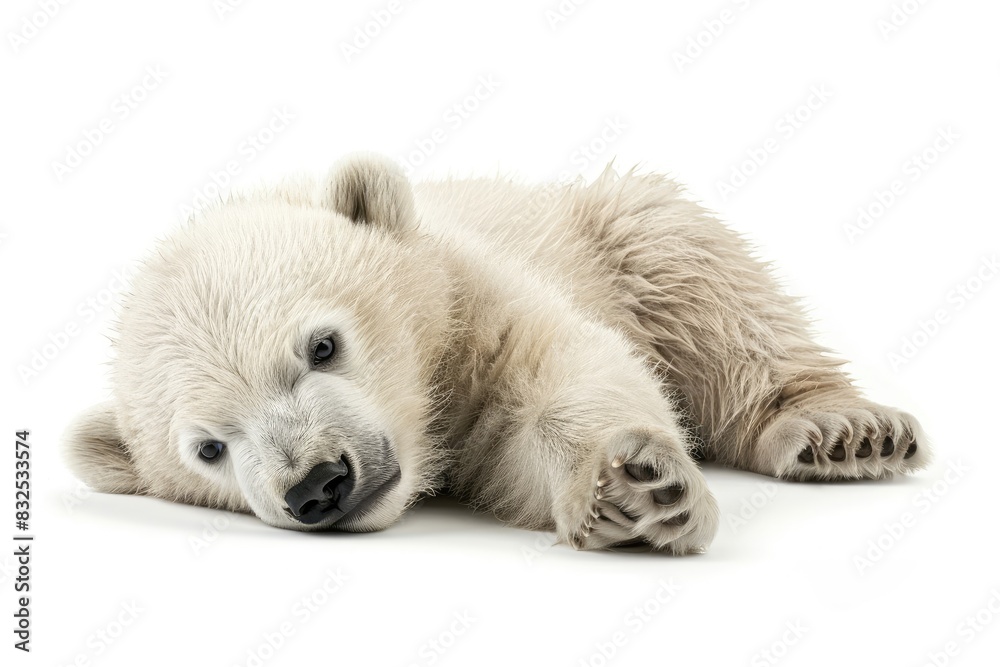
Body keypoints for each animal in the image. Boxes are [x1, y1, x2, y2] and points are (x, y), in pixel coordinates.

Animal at [63, 153, 930, 554]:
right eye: (209, 447)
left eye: (322, 345)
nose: (317, 483)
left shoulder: (473, 297)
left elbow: (561, 376)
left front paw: (639, 490)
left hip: (611, 232)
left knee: (695, 267)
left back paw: (838, 430)